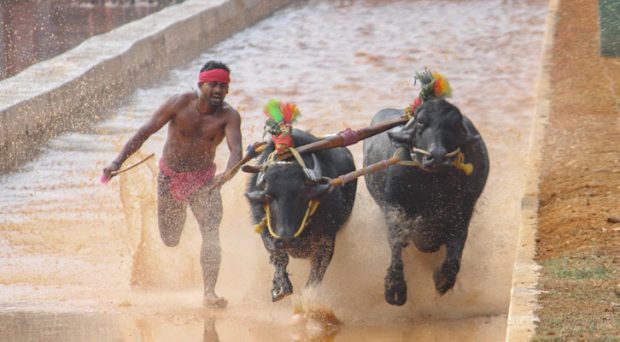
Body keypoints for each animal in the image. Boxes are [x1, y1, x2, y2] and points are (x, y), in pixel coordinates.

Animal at [245, 129, 356, 302]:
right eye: (268, 195)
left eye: (302, 193)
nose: (286, 239)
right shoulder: (267, 234)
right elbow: (279, 258)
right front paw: (280, 287)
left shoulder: (326, 240)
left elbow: (316, 275)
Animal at [364, 98, 490, 304]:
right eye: (421, 122)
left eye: (455, 124)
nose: (437, 156)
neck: (432, 185)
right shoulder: (394, 208)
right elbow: (396, 242)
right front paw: (394, 287)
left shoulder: (463, 212)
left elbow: (455, 253)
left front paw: (443, 280)